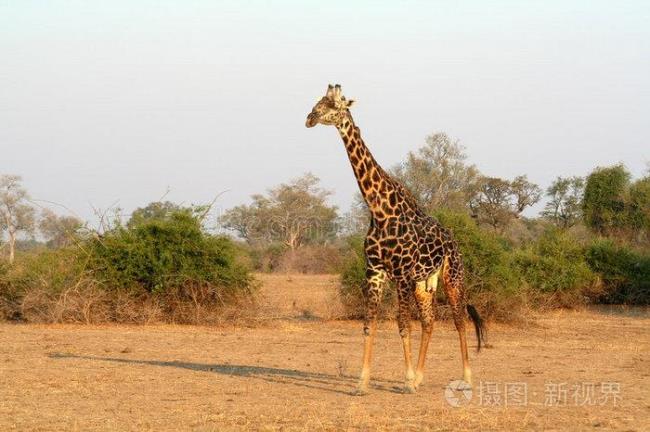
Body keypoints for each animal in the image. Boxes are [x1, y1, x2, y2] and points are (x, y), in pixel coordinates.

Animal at [306, 83, 484, 394]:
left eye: (336, 104)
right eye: (319, 101)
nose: (310, 118)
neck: (379, 210)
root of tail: (453, 240)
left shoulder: (401, 274)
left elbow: (402, 324)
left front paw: (407, 380)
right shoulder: (375, 271)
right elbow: (370, 324)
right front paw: (362, 383)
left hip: (453, 275)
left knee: (459, 318)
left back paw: (465, 378)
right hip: (424, 283)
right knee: (429, 321)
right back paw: (423, 376)